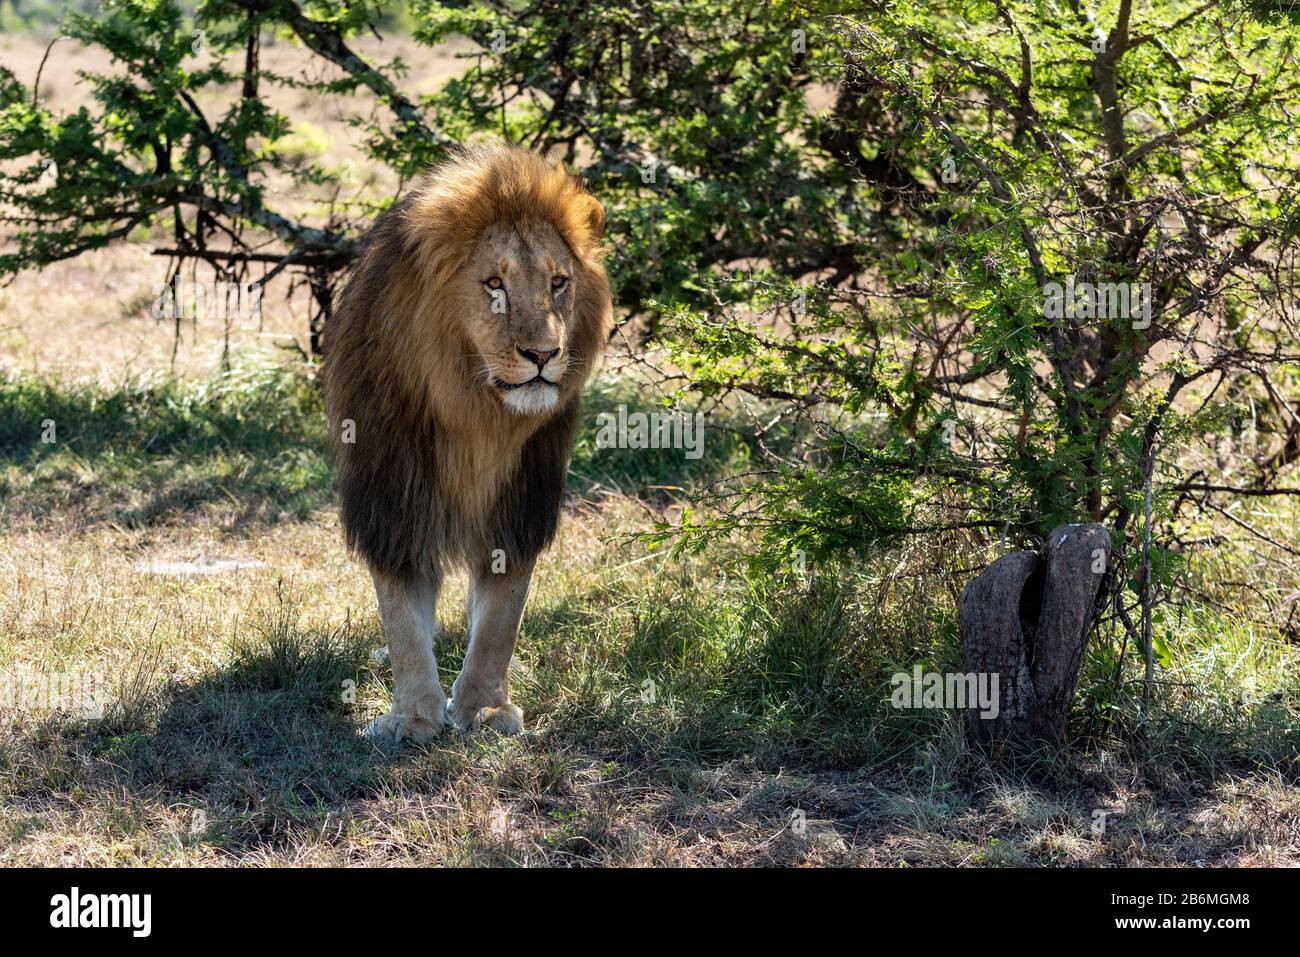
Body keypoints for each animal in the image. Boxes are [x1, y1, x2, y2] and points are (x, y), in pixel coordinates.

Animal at [323, 143, 611, 741]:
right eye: (494, 285)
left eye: (558, 282)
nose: (544, 355)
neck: (475, 411)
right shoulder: (394, 499)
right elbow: (403, 620)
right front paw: (413, 716)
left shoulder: (521, 502)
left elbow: (502, 617)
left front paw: (483, 707)